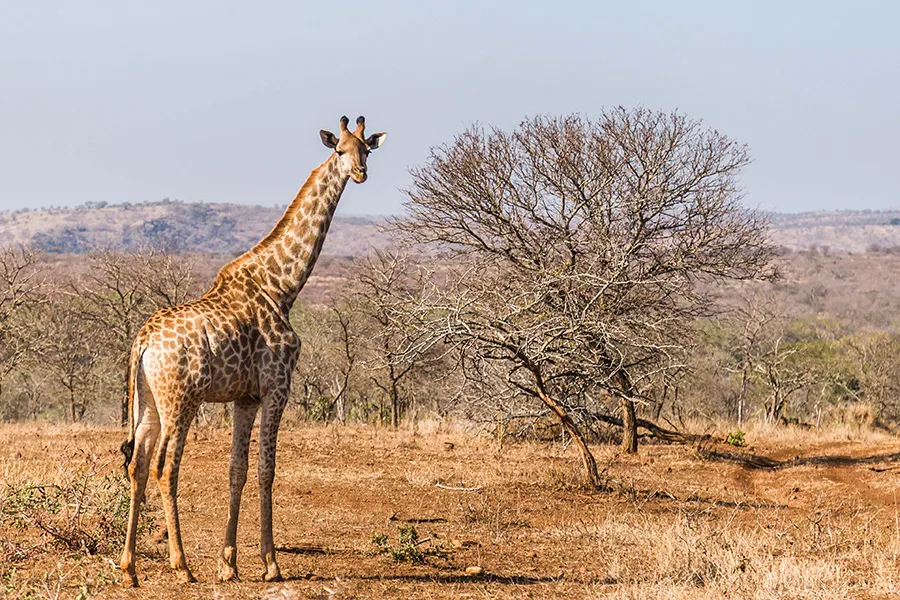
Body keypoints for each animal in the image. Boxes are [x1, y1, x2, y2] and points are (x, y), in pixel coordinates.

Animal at [118, 116, 387, 587]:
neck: (283, 287)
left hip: (148, 402)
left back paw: (129, 568)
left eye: (366, 149)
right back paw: (181, 564)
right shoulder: (277, 387)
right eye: (339, 150)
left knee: (137, 465)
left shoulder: (244, 397)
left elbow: (237, 470)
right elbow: (267, 470)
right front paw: (270, 564)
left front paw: (228, 563)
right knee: (165, 467)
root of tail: (143, 340)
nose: (360, 173)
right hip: (181, 401)